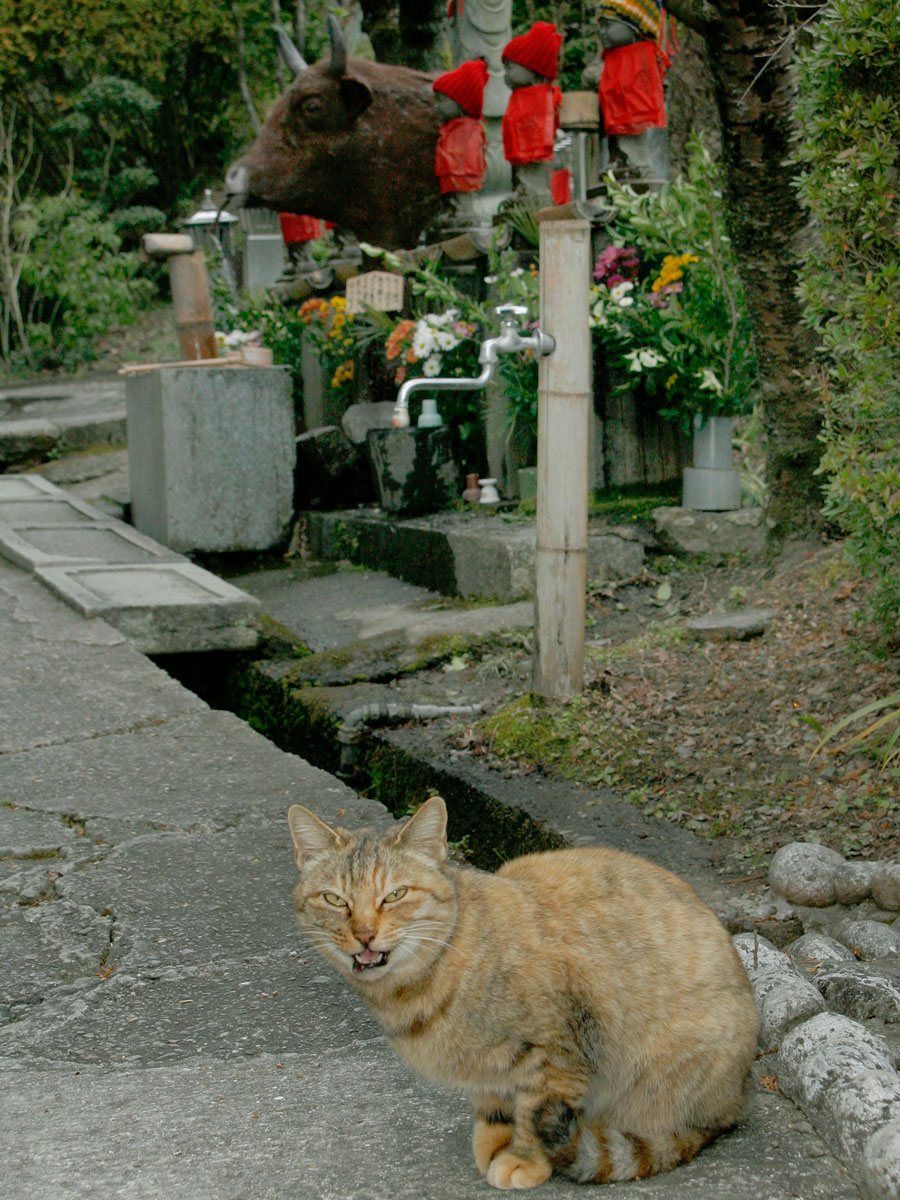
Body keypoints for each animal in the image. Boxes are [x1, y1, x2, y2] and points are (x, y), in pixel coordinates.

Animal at [290, 796, 763, 1190]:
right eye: (334, 900)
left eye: (396, 894)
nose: (364, 934)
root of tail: (739, 1098)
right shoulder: (487, 1068)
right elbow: (496, 1105)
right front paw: (495, 1143)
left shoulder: (558, 1052)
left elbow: (535, 1112)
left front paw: (525, 1159)